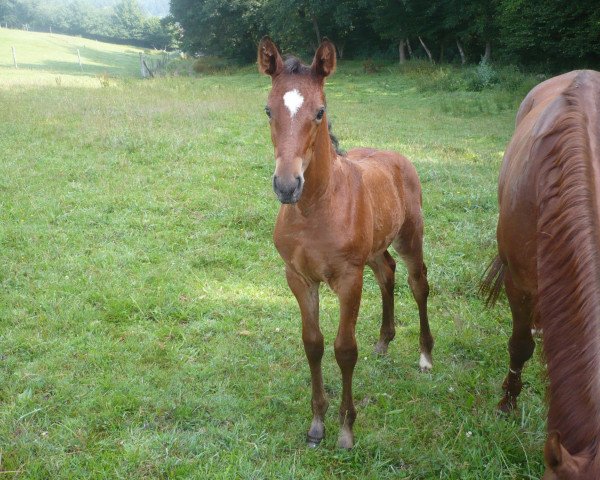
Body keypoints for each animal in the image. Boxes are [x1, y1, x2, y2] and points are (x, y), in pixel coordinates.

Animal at [255, 38, 434, 450]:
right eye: (268, 109)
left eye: (320, 112)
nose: (286, 186)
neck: (315, 208)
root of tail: (397, 156)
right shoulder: (299, 278)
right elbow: (313, 343)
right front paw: (316, 423)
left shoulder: (348, 280)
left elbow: (344, 349)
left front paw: (346, 428)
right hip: (375, 250)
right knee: (387, 273)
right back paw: (384, 342)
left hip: (410, 236)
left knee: (418, 282)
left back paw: (424, 355)